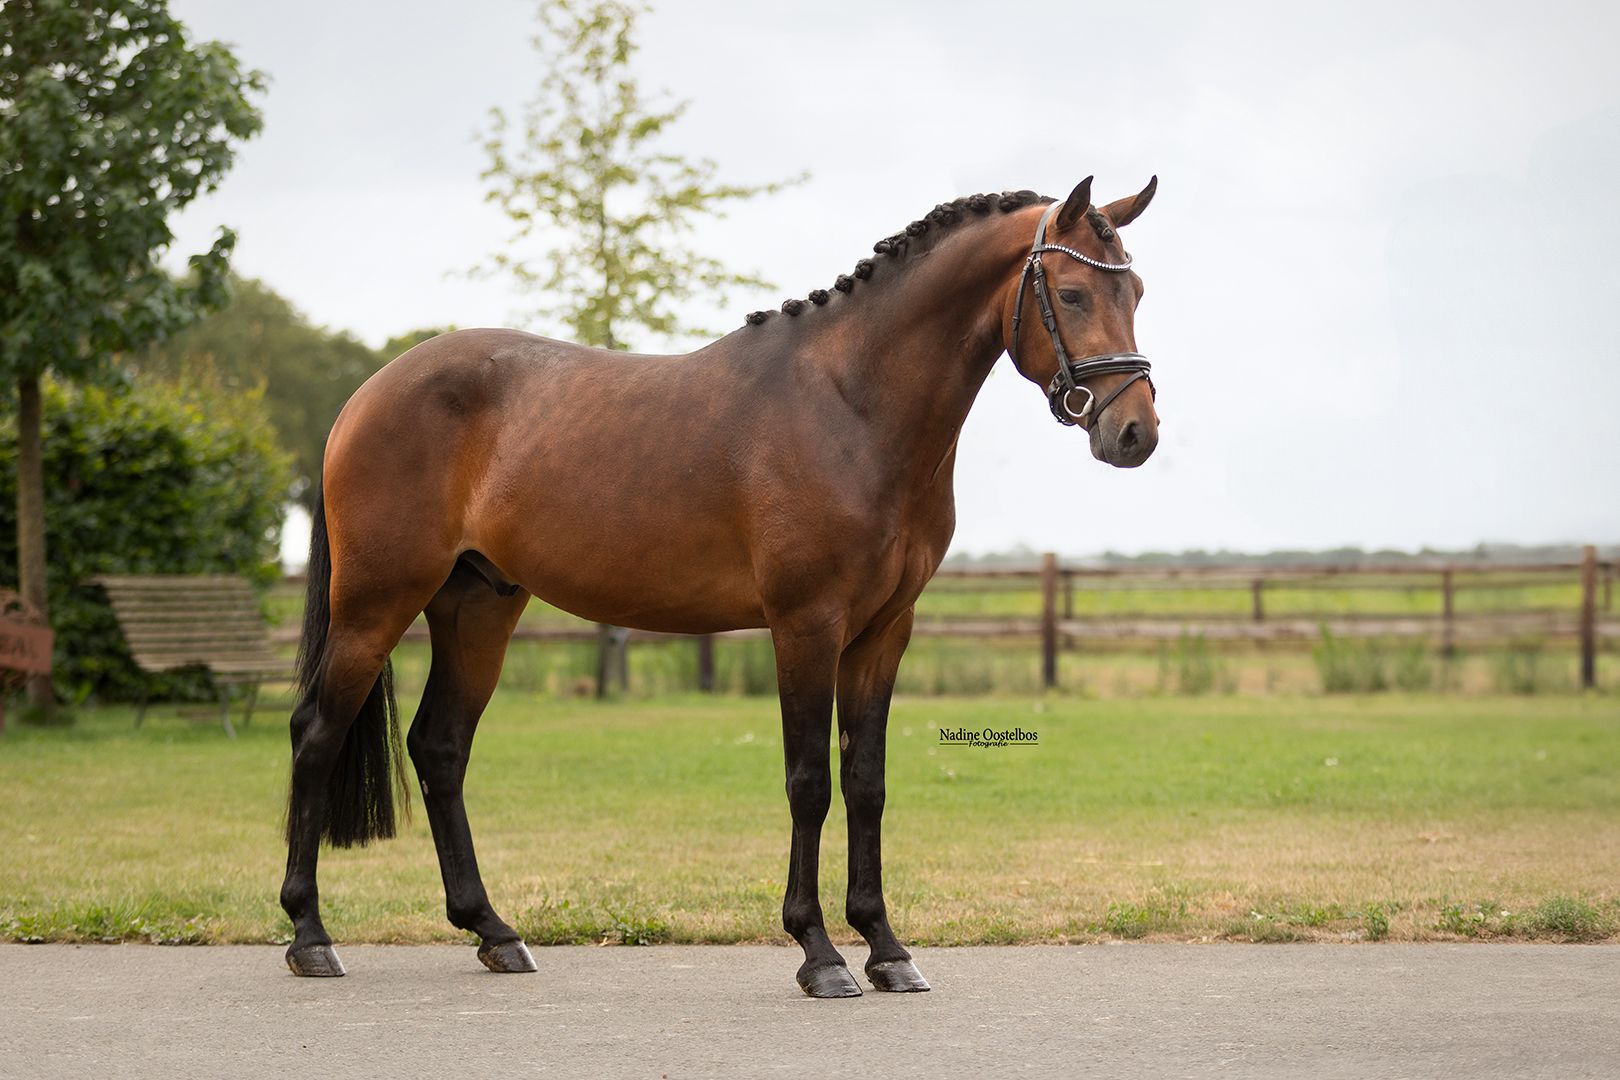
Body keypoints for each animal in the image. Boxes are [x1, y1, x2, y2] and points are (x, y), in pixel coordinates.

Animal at [280, 175, 1161, 998]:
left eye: (1138, 292)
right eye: (1073, 293)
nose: (1135, 433)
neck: (852, 403)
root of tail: (365, 396)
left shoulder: (883, 632)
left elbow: (866, 782)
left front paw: (887, 948)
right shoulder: (806, 624)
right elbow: (809, 782)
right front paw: (819, 952)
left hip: (479, 608)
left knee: (440, 747)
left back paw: (494, 932)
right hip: (374, 605)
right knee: (316, 734)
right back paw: (310, 936)